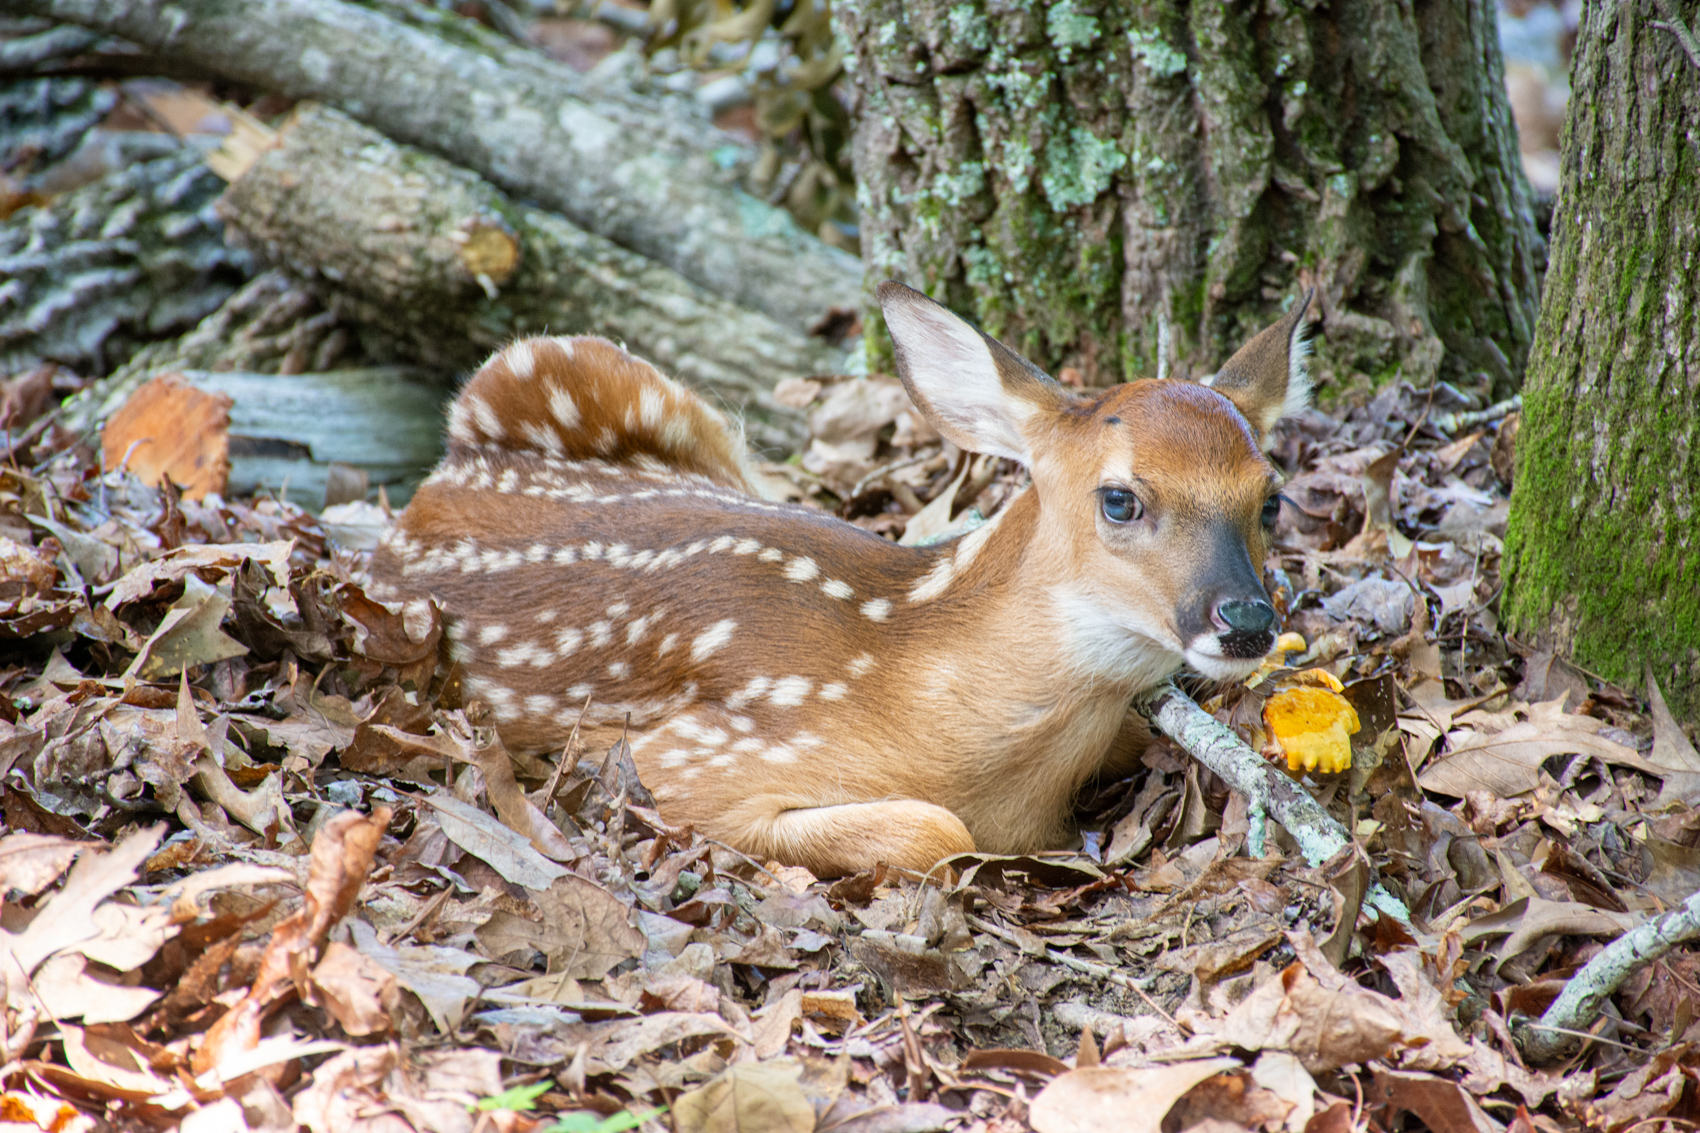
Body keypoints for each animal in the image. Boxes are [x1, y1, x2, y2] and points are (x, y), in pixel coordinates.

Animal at [367, 282, 1314, 877]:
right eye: (1120, 499)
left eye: (1270, 497)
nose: (1245, 618)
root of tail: (432, 492)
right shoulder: (692, 755)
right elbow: (933, 827)